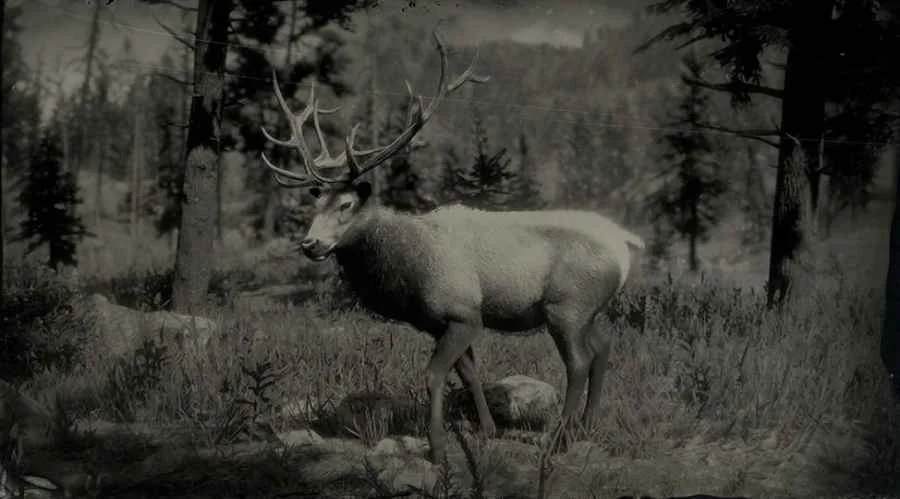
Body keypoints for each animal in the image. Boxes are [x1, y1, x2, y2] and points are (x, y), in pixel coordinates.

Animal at [259, 30, 645, 465]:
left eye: (345, 205)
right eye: (315, 204)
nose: (310, 243)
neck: (407, 271)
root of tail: (624, 244)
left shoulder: (462, 312)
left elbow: (433, 375)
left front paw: (439, 448)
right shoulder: (437, 322)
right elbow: (469, 372)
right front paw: (487, 429)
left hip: (567, 306)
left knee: (578, 362)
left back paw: (558, 439)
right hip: (589, 310)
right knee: (603, 346)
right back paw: (586, 426)